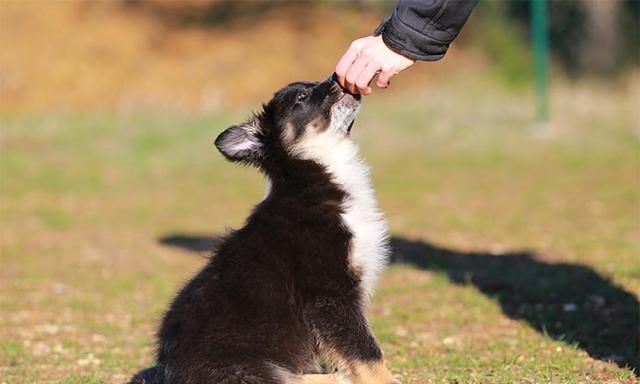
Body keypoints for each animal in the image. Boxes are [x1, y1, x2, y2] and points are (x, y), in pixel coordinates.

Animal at [130, 76, 398, 384]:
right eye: (301, 97)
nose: (336, 77)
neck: (315, 175)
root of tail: (167, 373)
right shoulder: (329, 294)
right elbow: (366, 351)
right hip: (245, 368)